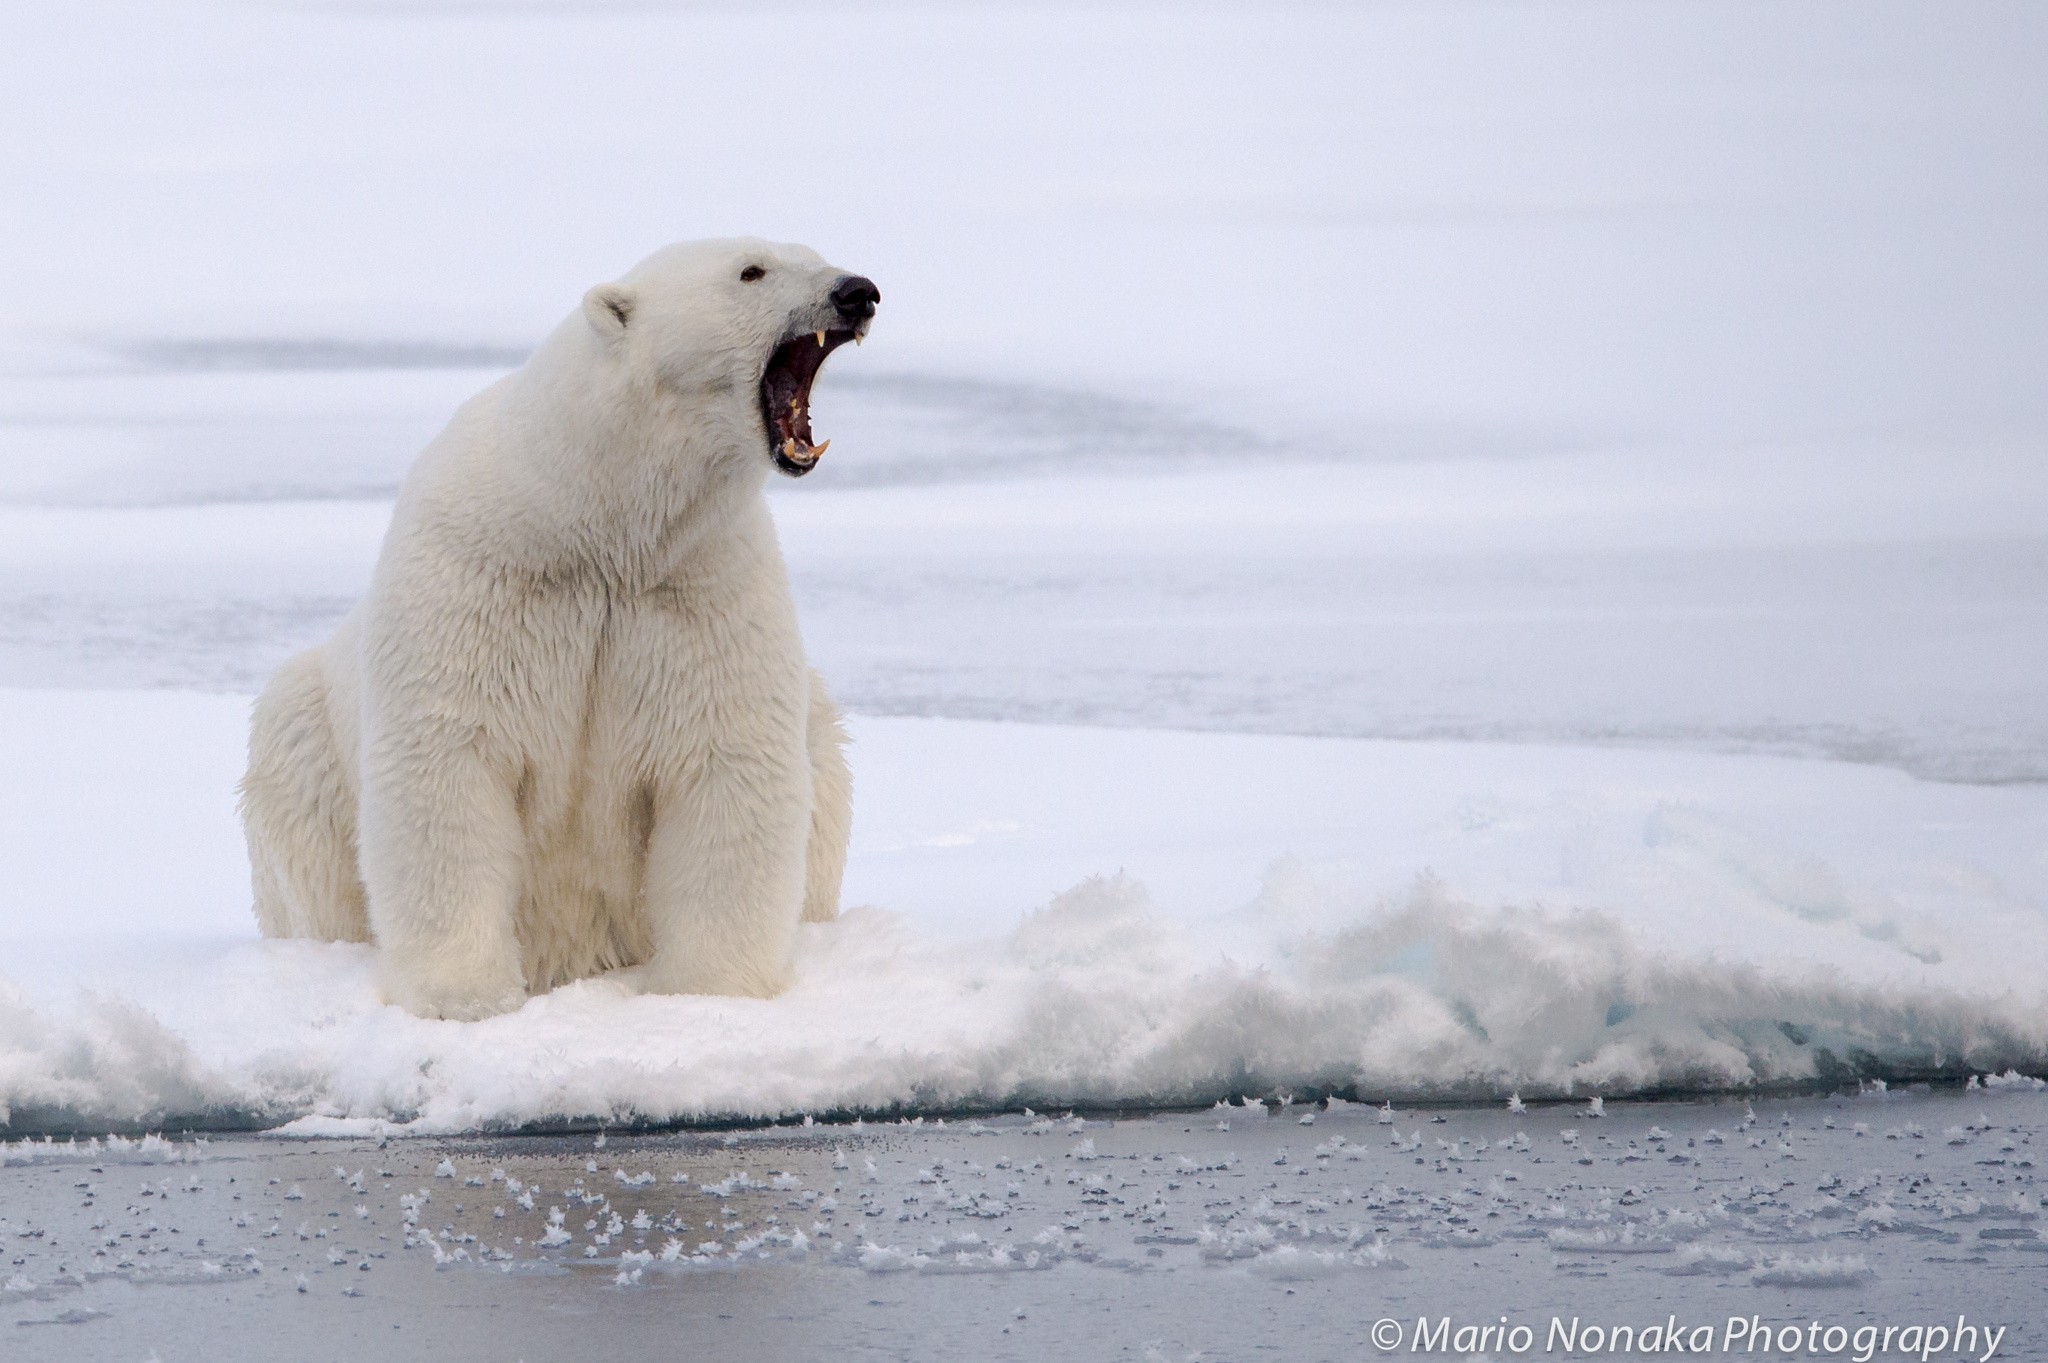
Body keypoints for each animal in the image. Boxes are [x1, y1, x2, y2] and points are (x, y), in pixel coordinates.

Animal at [237, 236, 872, 1019]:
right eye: (752, 270)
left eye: (814, 252)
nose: (858, 292)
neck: (594, 521)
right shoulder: (484, 580)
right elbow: (448, 763)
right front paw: (463, 996)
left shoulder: (700, 589)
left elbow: (725, 764)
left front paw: (707, 993)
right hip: (305, 735)